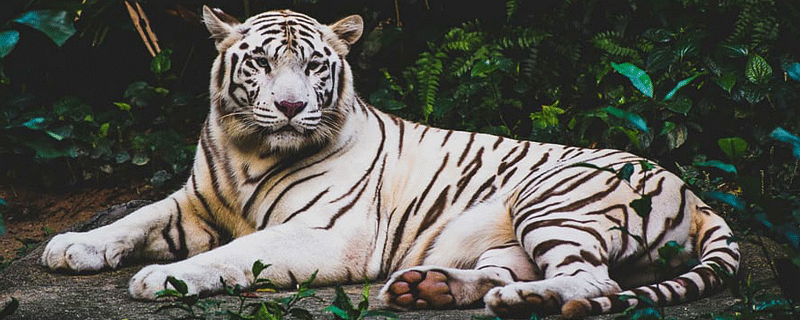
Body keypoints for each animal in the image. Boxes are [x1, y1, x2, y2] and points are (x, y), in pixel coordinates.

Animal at [39, 6, 736, 318]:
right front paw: (71, 246)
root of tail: (696, 195)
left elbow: (234, 254)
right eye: (261, 62)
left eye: (314, 66)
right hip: (507, 234)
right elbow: (136, 217)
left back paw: (523, 300)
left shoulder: (327, 233)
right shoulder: (196, 202)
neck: (249, 150)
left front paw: (162, 279)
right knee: (509, 271)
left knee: (596, 283)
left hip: (554, 201)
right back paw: (429, 287)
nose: (290, 107)